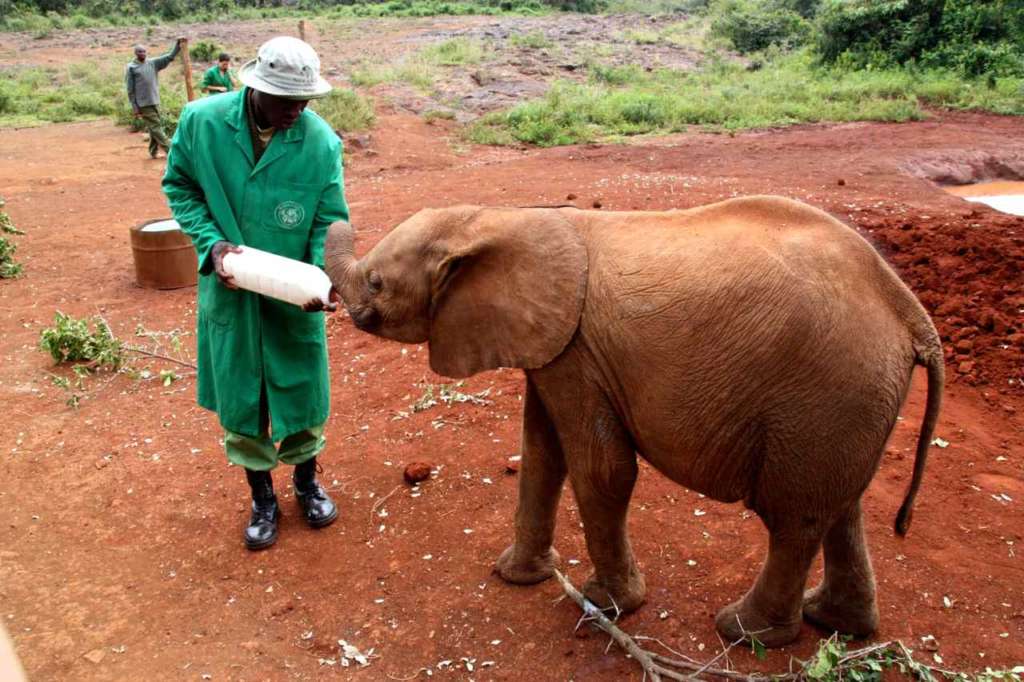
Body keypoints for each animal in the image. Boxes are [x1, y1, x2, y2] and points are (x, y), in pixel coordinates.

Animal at [324, 196, 944, 648]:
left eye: (377, 283)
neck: (499, 217)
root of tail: (912, 314)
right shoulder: (557, 351)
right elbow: (542, 453)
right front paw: (515, 577)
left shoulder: (577, 351)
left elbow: (601, 470)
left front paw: (608, 605)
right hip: (847, 404)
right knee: (841, 507)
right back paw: (836, 624)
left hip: (825, 392)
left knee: (794, 518)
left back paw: (744, 633)